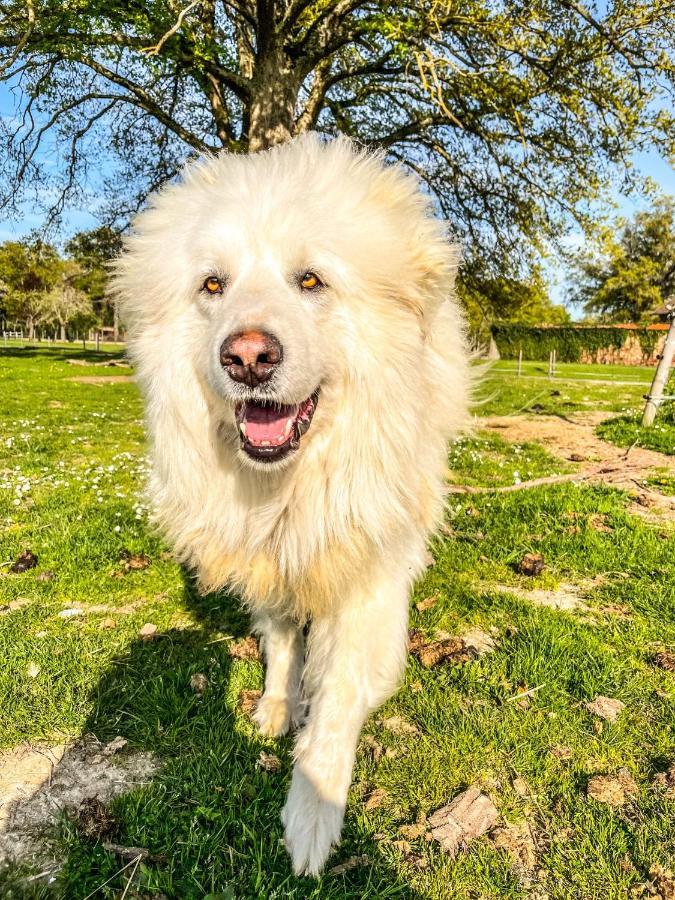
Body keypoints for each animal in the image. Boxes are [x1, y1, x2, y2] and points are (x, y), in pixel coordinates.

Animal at [113, 137, 472, 876]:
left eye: (310, 281)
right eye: (212, 285)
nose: (248, 357)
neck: (290, 484)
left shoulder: (366, 569)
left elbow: (338, 696)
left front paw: (313, 809)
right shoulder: (267, 557)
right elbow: (281, 644)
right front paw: (279, 706)